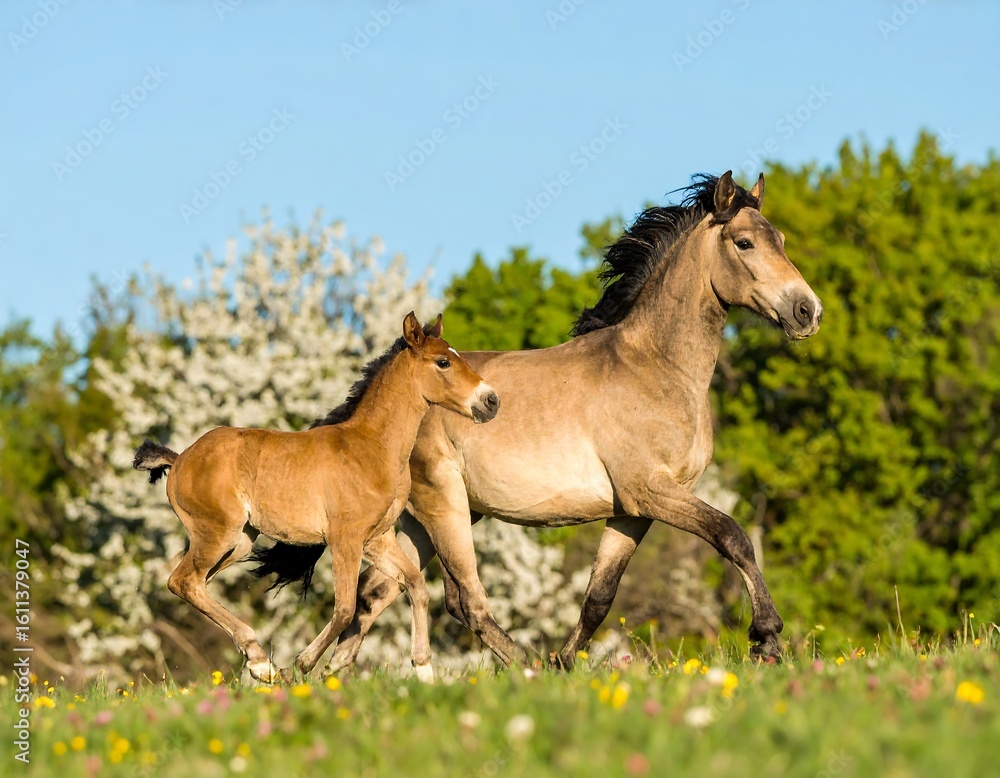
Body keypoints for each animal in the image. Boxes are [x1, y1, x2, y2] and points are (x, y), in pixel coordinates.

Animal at [133, 312, 500, 683]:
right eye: (443, 362)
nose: (491, 401)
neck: (372, 447)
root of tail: (180, 459)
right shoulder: (344, 539)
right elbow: (345, 608)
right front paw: (302, 664)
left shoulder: (376, 539)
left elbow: (416, 585)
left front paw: (424, 670)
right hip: (217, 534)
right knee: (183, 581)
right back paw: (263, 663)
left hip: (239, 543)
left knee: (197, 584)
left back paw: (256, 660)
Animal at [257, 171, 824, 672]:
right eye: (745, 242)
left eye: (780, 239)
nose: (807, 312)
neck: (657, 366)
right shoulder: (651, 491)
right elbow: (733, 536)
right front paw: (767, 640)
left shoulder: (633, 510)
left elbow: (599, 597)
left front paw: (567, 661)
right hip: (444, 505)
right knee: (465, 602)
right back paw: (523, 664)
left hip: (424, 517)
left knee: (380, 593)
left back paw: (331, 673)